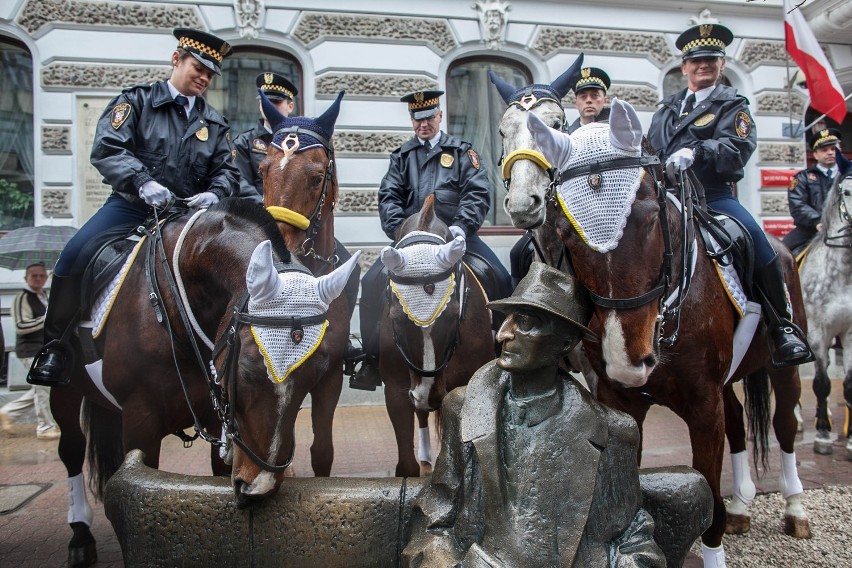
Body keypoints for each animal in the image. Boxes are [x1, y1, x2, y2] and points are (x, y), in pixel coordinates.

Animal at [50, 200, 356, 564]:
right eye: (248, 369)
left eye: (315, 374)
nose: (259, 487)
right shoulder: (140, 422)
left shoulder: (217, 413)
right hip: (65, 392)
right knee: (71, 449)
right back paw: (80, 535)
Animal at [520, 103, 812, 568]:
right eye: (566, 231)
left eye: (649, 216)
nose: (627, 358)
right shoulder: (622, 403)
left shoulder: (703, 404)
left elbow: (709, 501)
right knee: (738, 425)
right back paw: (743, 506)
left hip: (783, 369)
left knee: (785, 425)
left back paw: (795, 509)